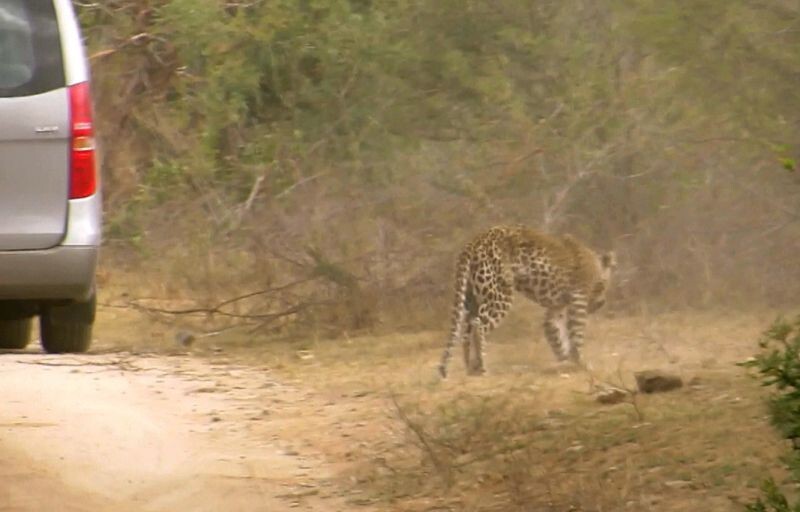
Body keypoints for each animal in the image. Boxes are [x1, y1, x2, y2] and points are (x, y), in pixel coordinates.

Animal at [440, 226, 616, 378]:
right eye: (604, 285)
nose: (601, 303)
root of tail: (474, 241)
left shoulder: (556, 307)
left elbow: (555, 333)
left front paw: (565, 360)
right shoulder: (578, 298)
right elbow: (576, 333)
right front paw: (580, 362)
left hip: (472, 299)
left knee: (466, 330)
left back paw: (471, 368)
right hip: (500, 294)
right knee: (478, 326)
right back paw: (482, 368)